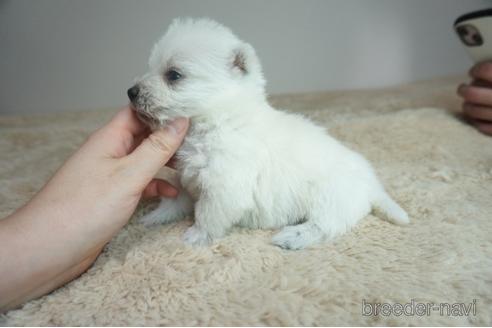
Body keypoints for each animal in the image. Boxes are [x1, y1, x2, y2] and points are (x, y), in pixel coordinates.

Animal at [129, 17, 410, 249]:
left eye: (174, 75)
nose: (131, 92)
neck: (218, 118)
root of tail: (372, 185)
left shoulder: (223, 186)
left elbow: (207, 215)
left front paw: (196, 236)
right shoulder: (185, 176)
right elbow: (175, 200)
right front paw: (155, 217)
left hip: (331, 199)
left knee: (325, 226)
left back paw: (291, 237)